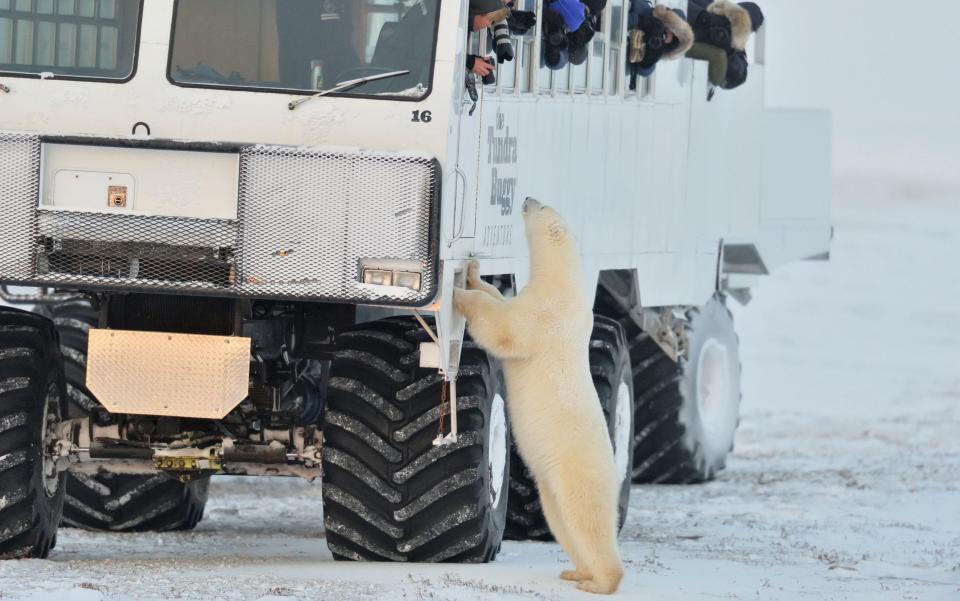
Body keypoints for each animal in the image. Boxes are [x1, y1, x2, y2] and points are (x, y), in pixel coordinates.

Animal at [452, 198, 624, 596]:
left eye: (543, 206)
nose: (527, 198)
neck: (566, 283)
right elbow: (499, 302)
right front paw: (474, 273)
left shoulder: (544, 313)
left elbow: (503, 327)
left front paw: (458, 293)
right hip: (551, 488)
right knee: (564, 524)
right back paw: (577, 573)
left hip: (578, 474)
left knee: (589, 523)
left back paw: (601, 582)